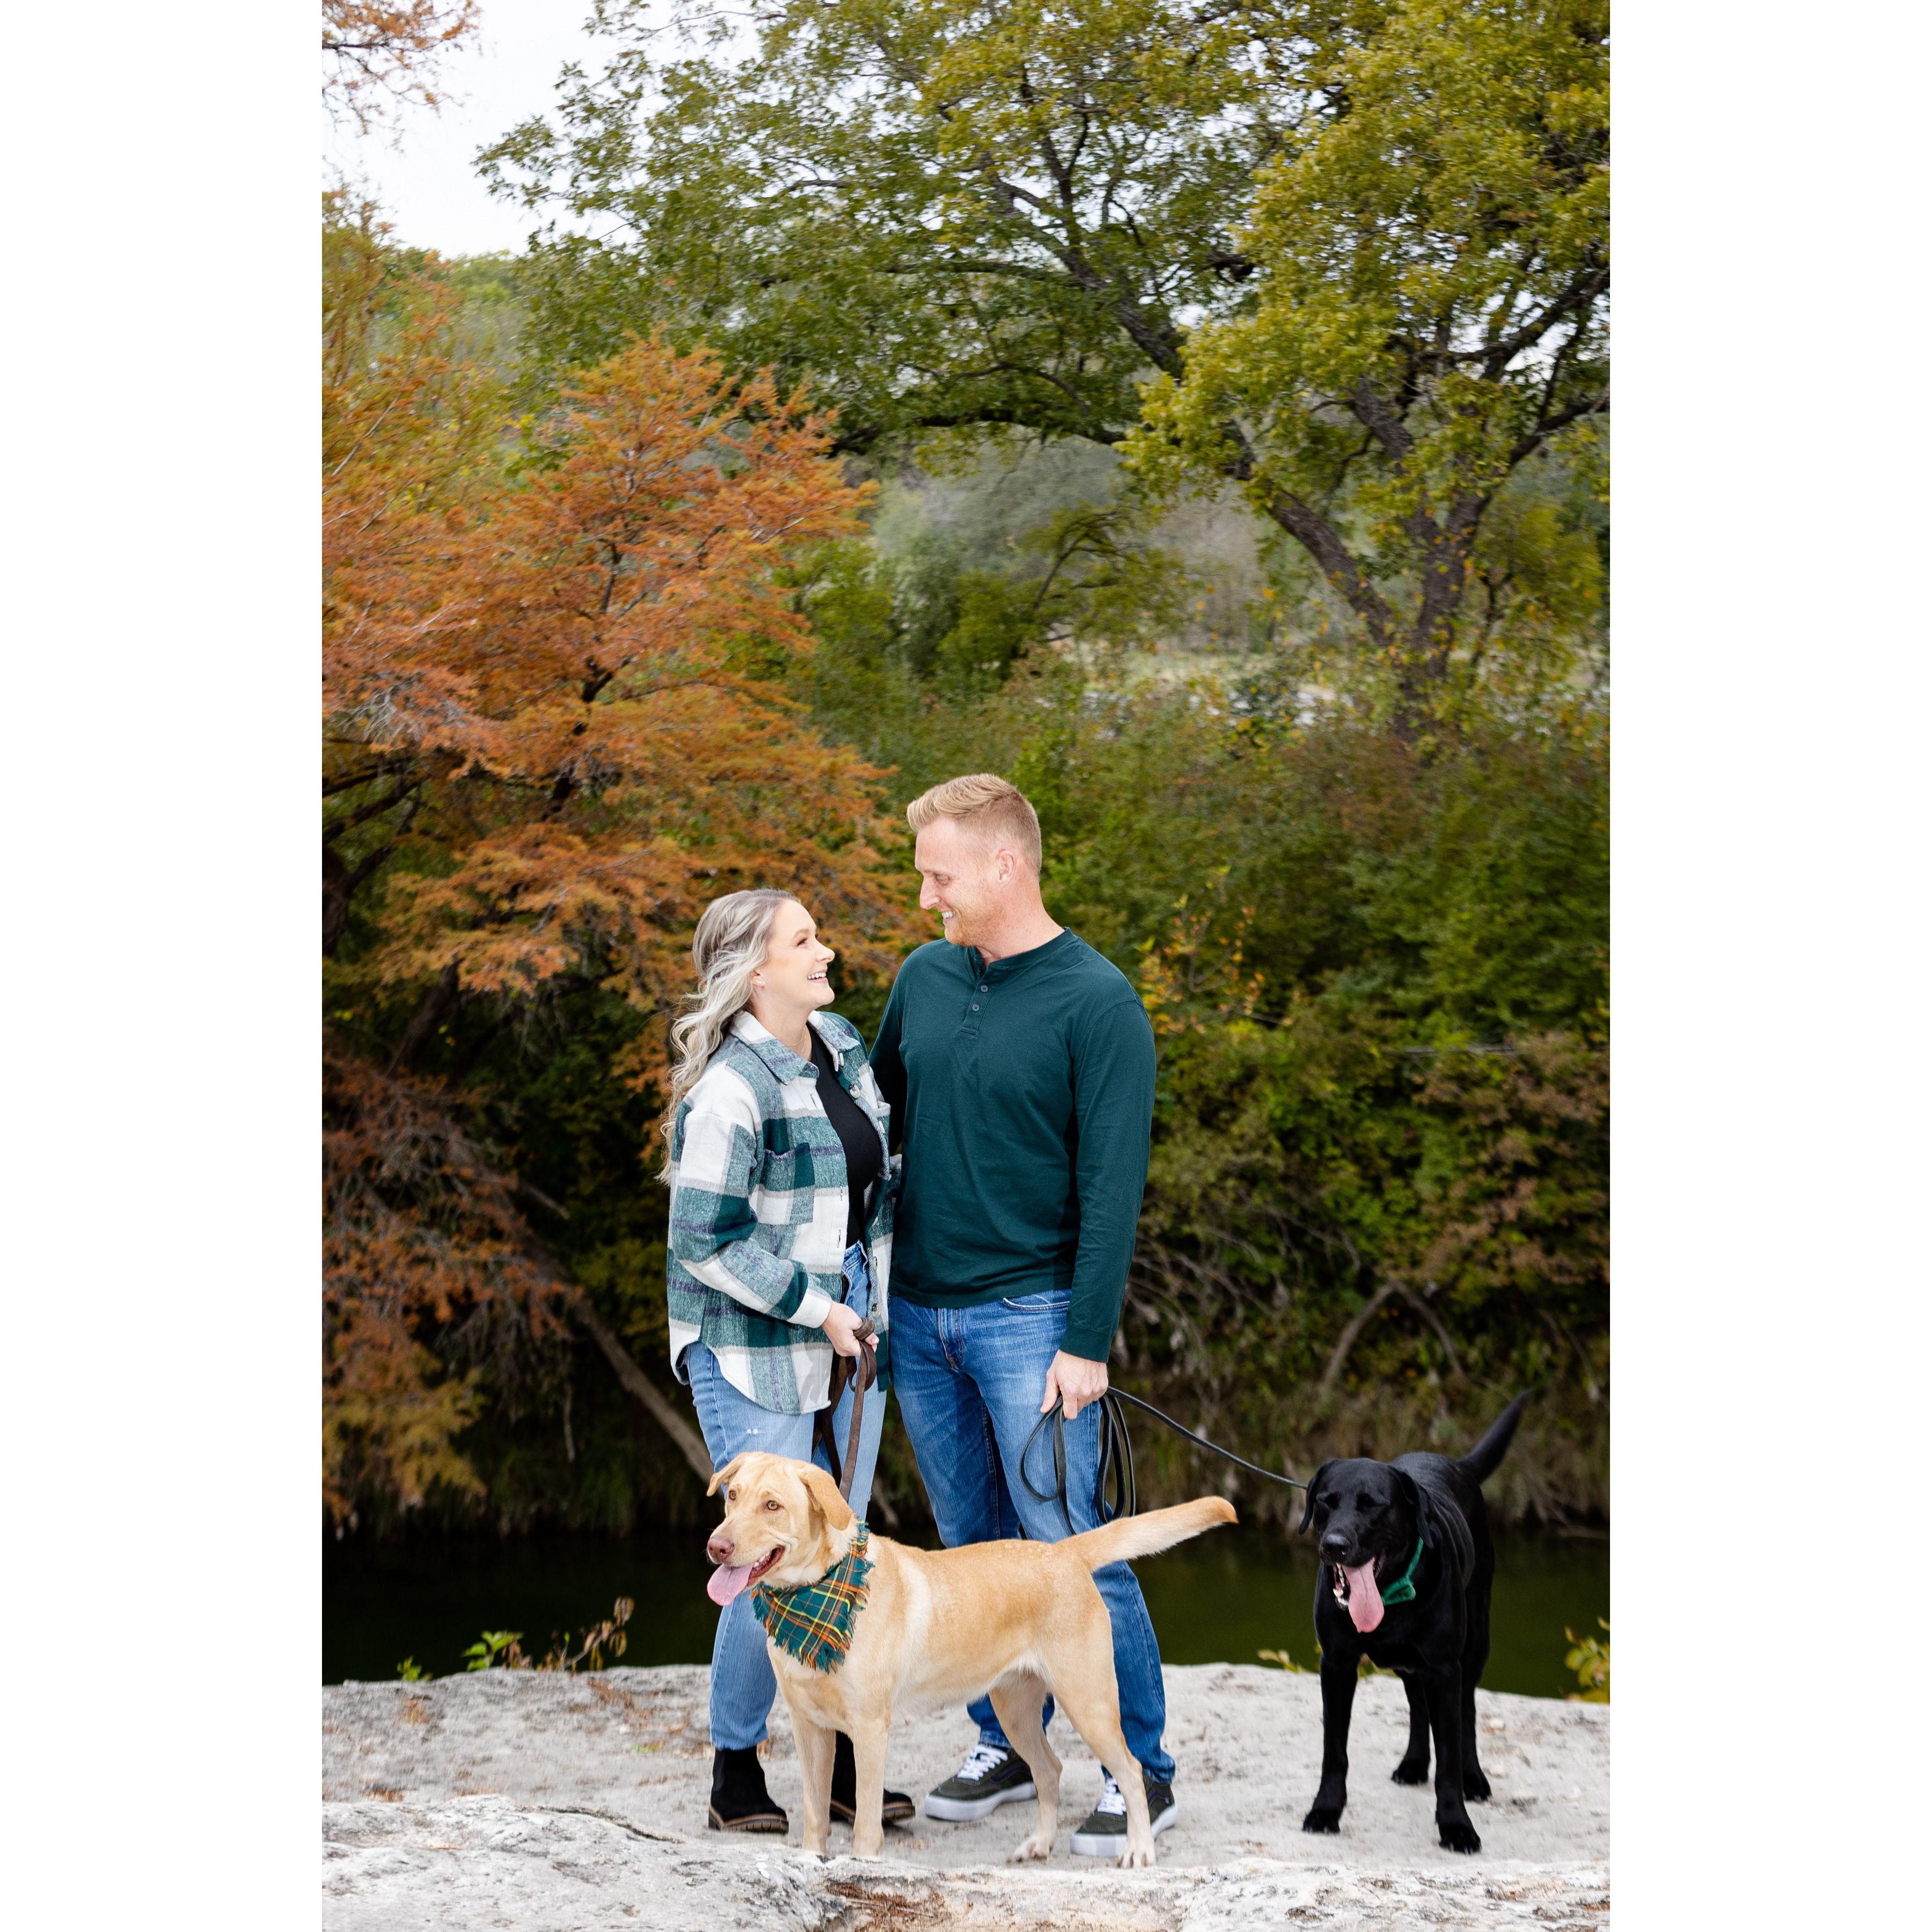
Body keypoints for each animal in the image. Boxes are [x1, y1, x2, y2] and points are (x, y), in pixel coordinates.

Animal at [703, 1453, 1228, 1862]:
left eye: (772, 1505)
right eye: (733, 1496)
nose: (716, 1546)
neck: (816, 1594)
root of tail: (1064, 1553)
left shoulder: (870, 1729)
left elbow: (867, 1822)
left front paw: (862, 1866)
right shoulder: (809, 1726)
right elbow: (815, 1813)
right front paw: (813, 1863)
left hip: (1089, 1703)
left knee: (1132, 1771)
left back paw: (1138, 1848)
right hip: (1014, 1711)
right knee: (1050, 1770)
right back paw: (1039, 1843)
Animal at [1306, 1391, 1530, 1855]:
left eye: (1374, 1504)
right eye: (1325, 1502)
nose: (1334, 1546)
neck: (1391, 1596)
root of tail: (1458, 1464)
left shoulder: (1445, 1669)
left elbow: (1449, 1759)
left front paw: (1456, 1826)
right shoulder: (1336, 1665)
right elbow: (1334, 1750)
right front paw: (1326, 1810)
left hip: (1475, 1644)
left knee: (1467, 1711)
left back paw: (1474, 1778)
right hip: (1410, 1664)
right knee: (1416, 1705)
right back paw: (1413, 1763)